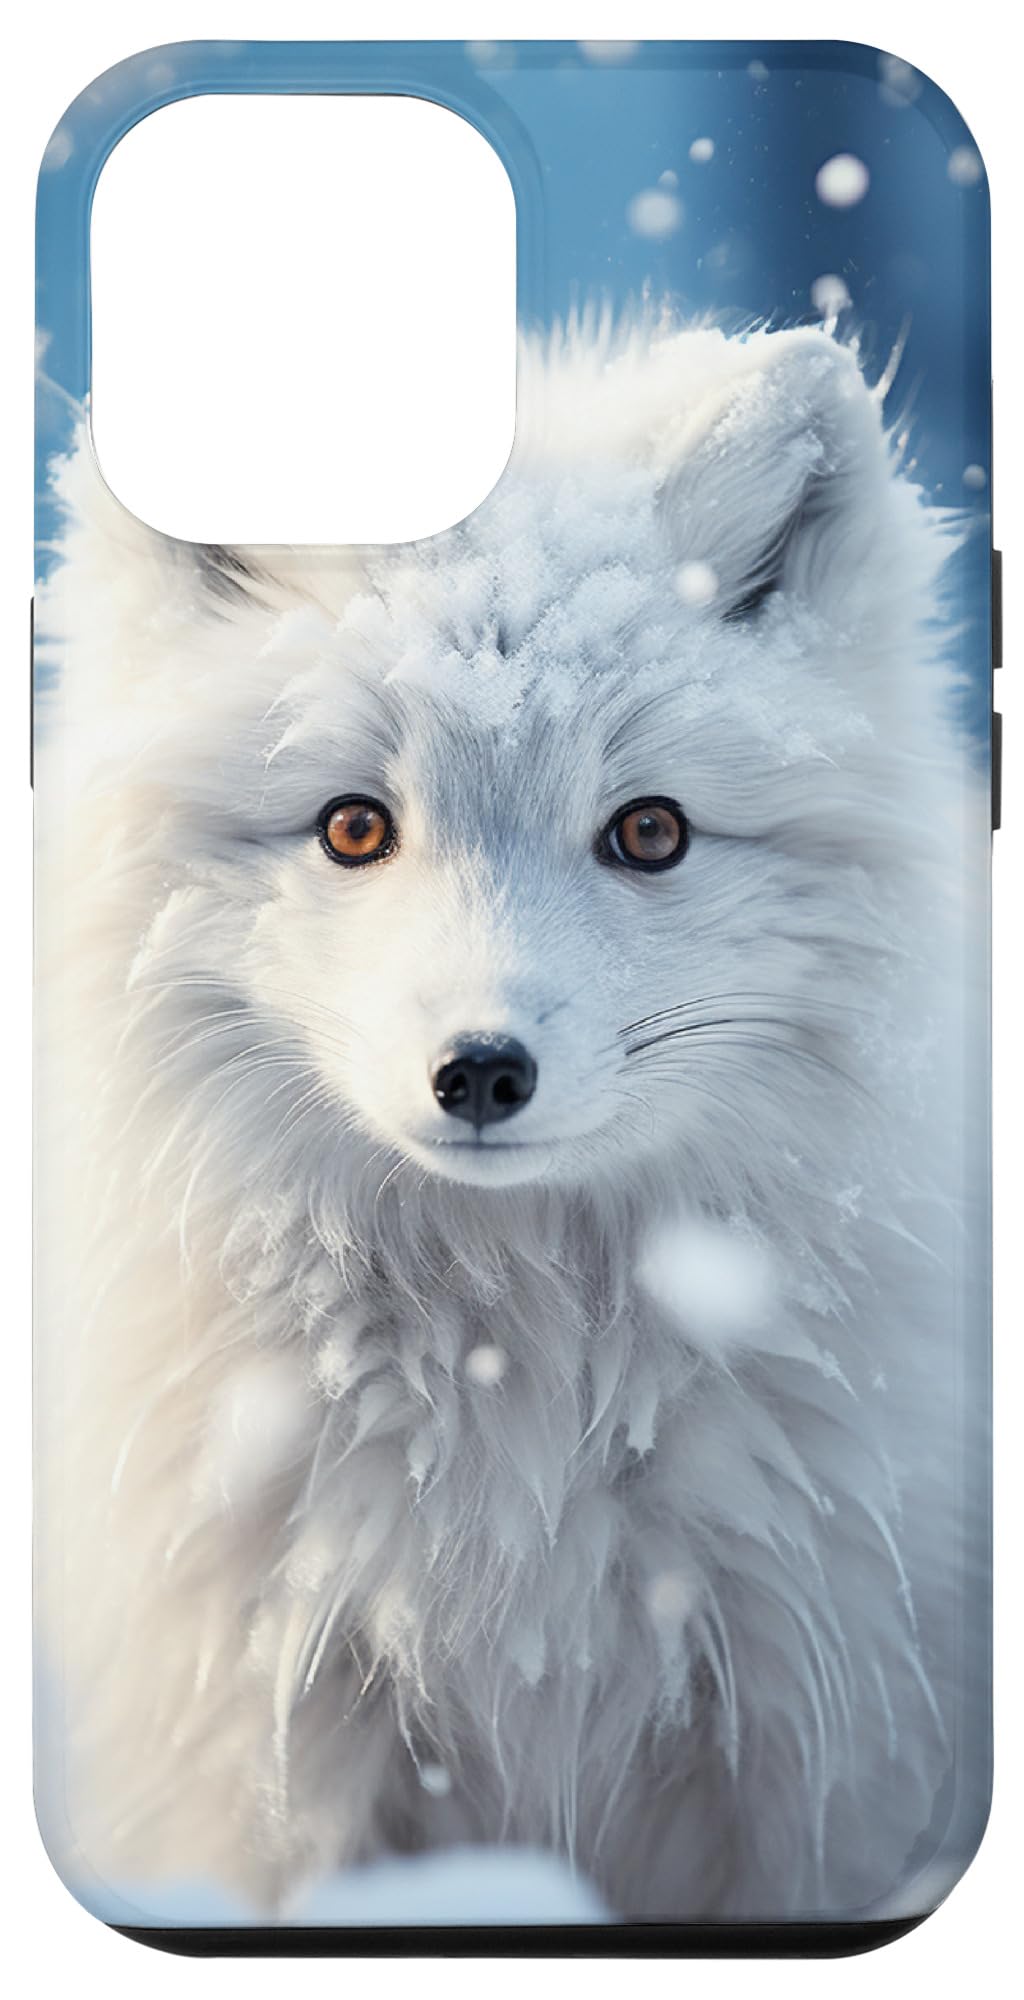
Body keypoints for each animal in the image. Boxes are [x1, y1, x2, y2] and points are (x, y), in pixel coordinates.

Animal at [35, 317, 989, 1925]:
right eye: (354, 825)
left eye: (649, 831)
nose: (480, 1070)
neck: (517, 1393)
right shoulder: (271, 1738)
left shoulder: (820, 1750)